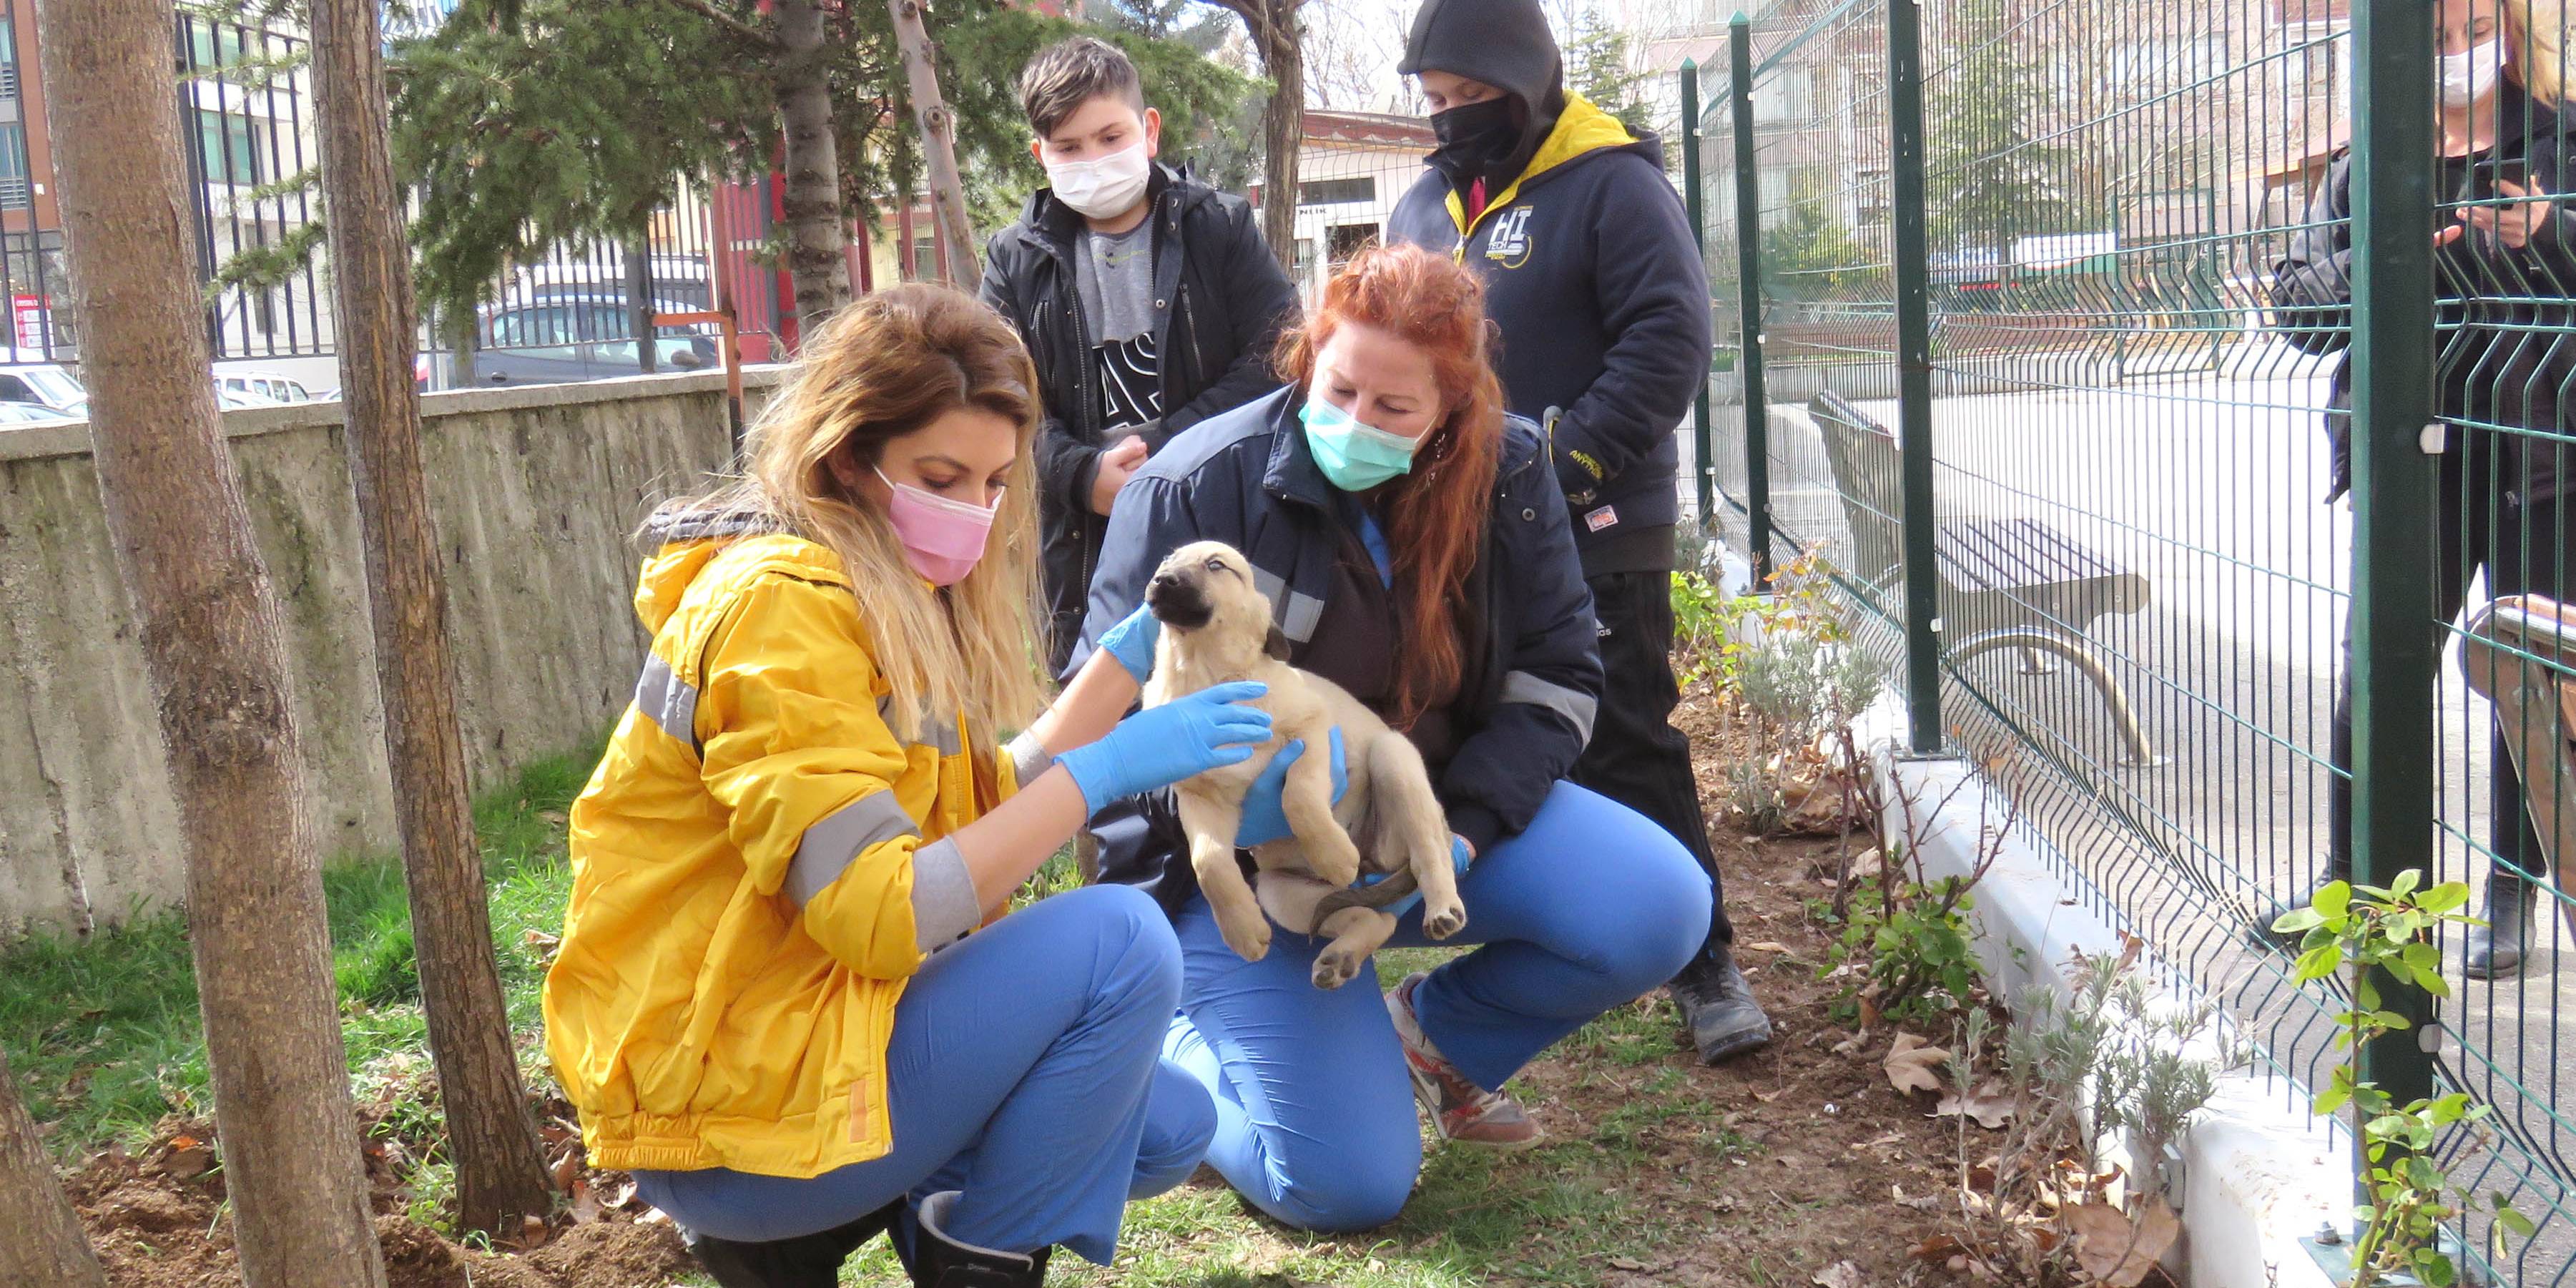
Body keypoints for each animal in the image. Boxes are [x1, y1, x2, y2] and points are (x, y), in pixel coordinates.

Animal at [1149, 538, 1473, 989]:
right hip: (1279, 892)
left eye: (1216, 566)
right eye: (1166, 560)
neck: (1205, 677)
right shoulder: (1199, 798)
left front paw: (1334, 855)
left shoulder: (1313, 734)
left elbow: (1298, 796)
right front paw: (1244, 932)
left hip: (1393, 758)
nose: (1161, 580)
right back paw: (1340, 957)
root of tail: (1372, 865)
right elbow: (1209, 862)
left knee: (1431, 852)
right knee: (1376, 919)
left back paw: (1440, 906)